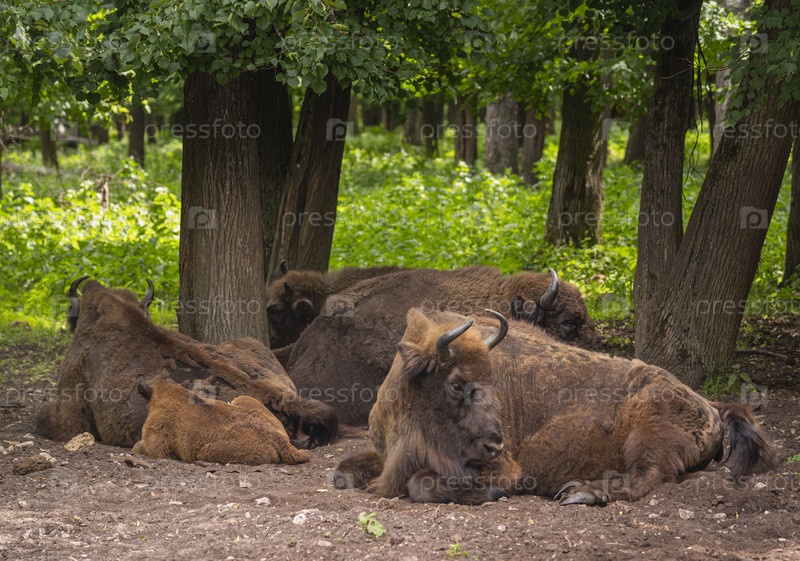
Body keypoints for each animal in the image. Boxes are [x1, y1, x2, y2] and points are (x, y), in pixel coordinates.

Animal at [334, 308, 776, 505]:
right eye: (456, 384)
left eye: (492, 381)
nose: (495, 443)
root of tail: (710, 406)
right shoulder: (384, 451)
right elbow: (345, 469)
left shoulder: (502, 466)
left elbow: (419, 484)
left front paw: (495, 491)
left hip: (648, 433)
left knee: (647, 477)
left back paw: (580, 493)